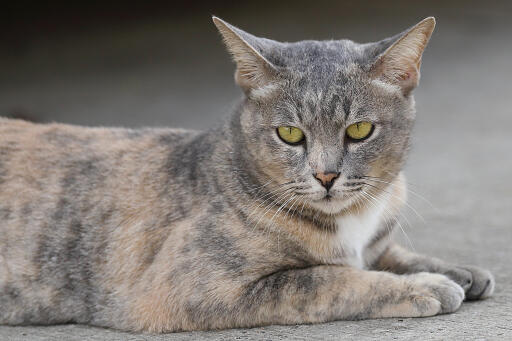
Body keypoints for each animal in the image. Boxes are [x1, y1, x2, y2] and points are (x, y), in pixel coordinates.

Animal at [1, 16, 496, 332]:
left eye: (359, 130)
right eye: (289, 134)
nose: (326, 176)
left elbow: (384, 253)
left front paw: (455, 269)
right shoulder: (192, 287)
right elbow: (328, 278)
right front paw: (426, 284)